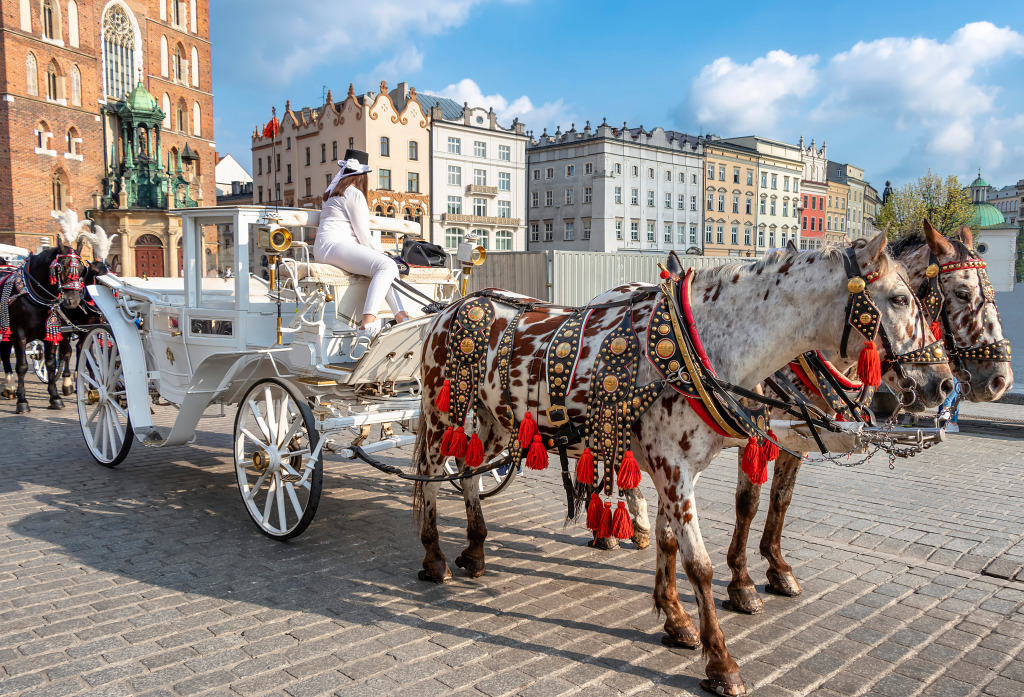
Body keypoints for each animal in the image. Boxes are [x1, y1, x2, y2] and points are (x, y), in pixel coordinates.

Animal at [0, 239, 84, 413]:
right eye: (60, 267)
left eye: (81, 269)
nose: (73, 301)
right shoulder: (19, 335)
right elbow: (22, 366)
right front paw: (22, 401)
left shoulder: (50, 334)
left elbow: (51, 364)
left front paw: (55, 398)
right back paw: (11, 387)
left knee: (4, 353)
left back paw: (9, 387)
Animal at [411, 235, 954, 695]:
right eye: (900, 300)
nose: (945, 384)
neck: (701, 343)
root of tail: (452, 306)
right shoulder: (673, 467)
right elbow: (701, 564)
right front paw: (721, 659)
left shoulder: (676, 467)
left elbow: (677, 540)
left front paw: (675, 618)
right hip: (441, 413)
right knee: (434, 478)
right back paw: (435, 557)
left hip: (492, 420)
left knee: (470, 475)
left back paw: (476, 550)